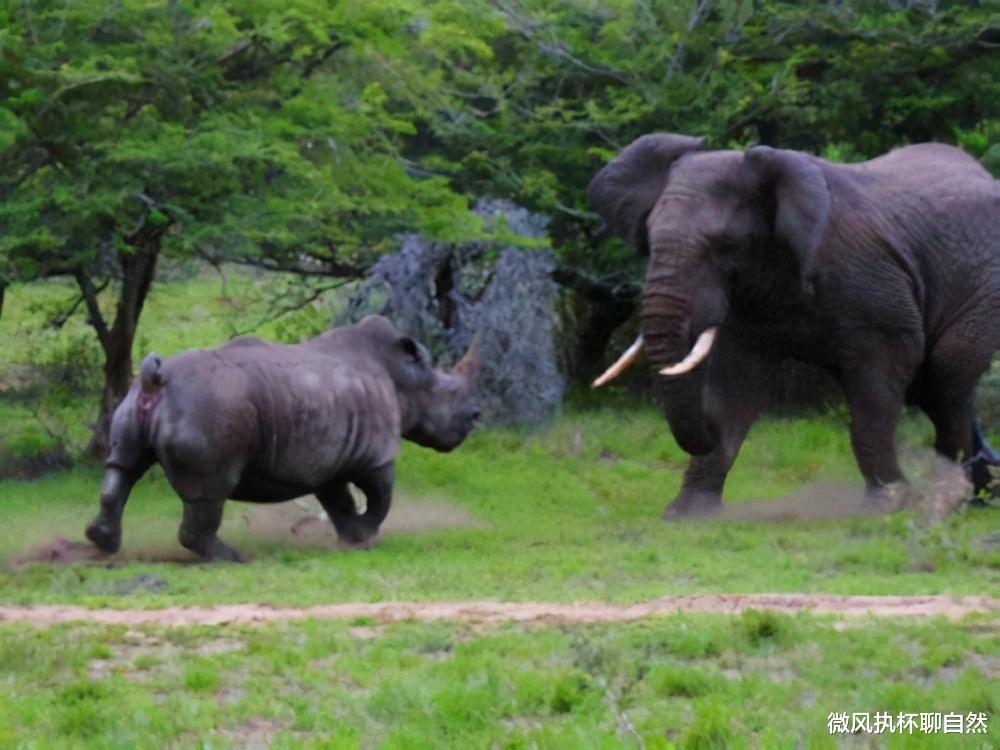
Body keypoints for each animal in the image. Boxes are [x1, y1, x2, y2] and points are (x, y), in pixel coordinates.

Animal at [86, 315, 481, 560]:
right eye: (452, 395)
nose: (475, 418)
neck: (405, 378)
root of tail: (156, 378)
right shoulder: (375, 453)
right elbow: (381, 497)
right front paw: (367, 535)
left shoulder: (330, 457)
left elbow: (339, 502)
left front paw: (353, 539)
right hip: (211, 408)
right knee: (212, 490)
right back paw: (231, 558)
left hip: (134, 404)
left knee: (124, 466)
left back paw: (102, 541)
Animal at [588, 134, 1000, 517]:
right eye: (649, 236)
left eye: (725, 243)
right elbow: (734, 383)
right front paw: (686, 514)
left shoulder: (874, 290)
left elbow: (885, 376)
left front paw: (887, 506)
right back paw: (976, 497)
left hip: (983, 291)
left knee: (945, 379)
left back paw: (947, 501)